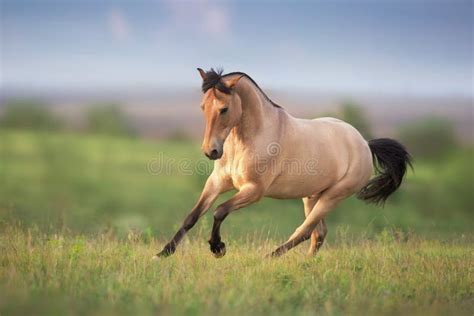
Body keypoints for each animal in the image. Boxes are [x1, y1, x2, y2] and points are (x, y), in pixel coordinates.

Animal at [155, 68, 412, 258]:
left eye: (224, 108)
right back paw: (305, 265)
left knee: (305, 231)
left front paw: (218, 248)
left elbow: (219, 211)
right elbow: (192, 216)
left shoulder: (253, 191)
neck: (250, 138)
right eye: (203, 107)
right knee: (318, 233)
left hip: (333, 196)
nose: (211, 151)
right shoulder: (217, 182)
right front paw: (163, 253)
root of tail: (365, 144)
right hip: (312, 195)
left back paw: (267, 258)